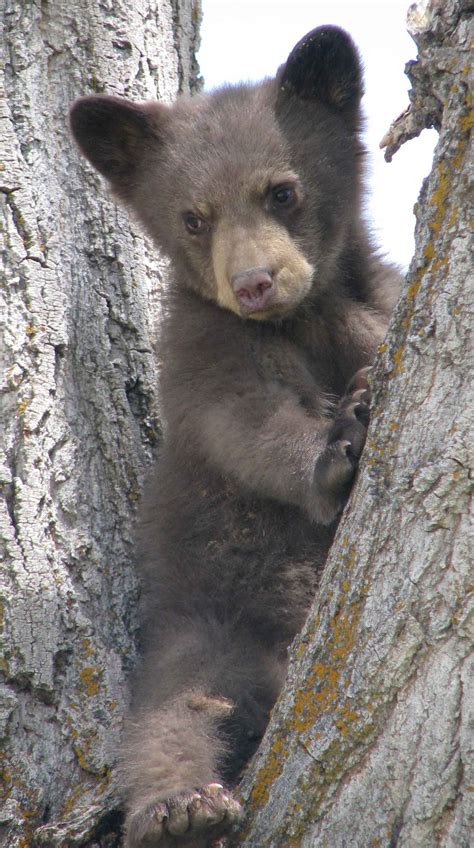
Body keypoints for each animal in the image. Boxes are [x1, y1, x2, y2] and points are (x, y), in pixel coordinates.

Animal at [70, 23, 400, 844]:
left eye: (282, 190)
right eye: (194, 217)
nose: (253, 283)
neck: (303, 318)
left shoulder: (371, 301)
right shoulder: (203, 349)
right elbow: (242, 419)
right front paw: (336, 446)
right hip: (203, 630)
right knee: (173, 715)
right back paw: (180, 808)